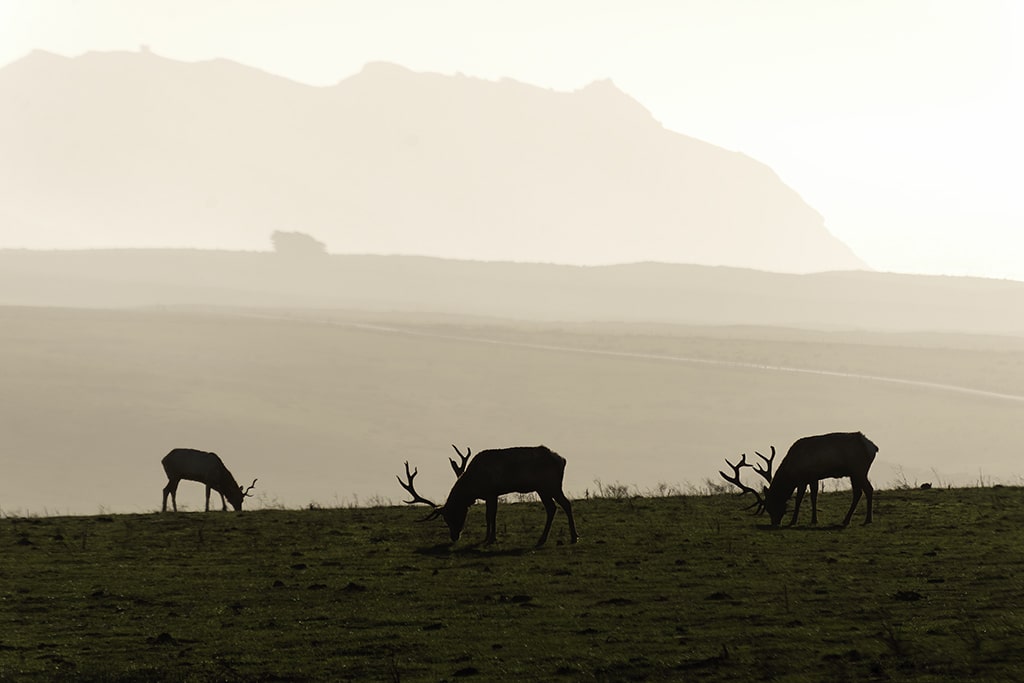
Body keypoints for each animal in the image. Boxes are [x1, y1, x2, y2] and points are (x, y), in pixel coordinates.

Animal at [397, 446, 581, 548]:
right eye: (445, 519)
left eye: (451, 516)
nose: (454, 536)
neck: (473, 485)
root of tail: (563, 460)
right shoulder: (490, 495)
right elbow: (490, 515)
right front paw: (488, 537)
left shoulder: (491, 492)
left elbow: (490, 515)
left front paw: (490, 538)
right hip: (546, 487)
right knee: (557, 506)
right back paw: (556, 538)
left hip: (549, 485)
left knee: (561, 505)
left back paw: (567, 537)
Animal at [720, 432, 880, 528]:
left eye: (771, 506)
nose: (775, 523)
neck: (791, 468)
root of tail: (874, 447)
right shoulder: (813, 477)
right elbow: (814, 496)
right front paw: (814, 520)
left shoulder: (802, 479)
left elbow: (799, 498)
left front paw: (793, 521)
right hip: (854, 473)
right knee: (859, 492)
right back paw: (850, 520)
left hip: (858, 469)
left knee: (867, 489)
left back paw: (866, 520)